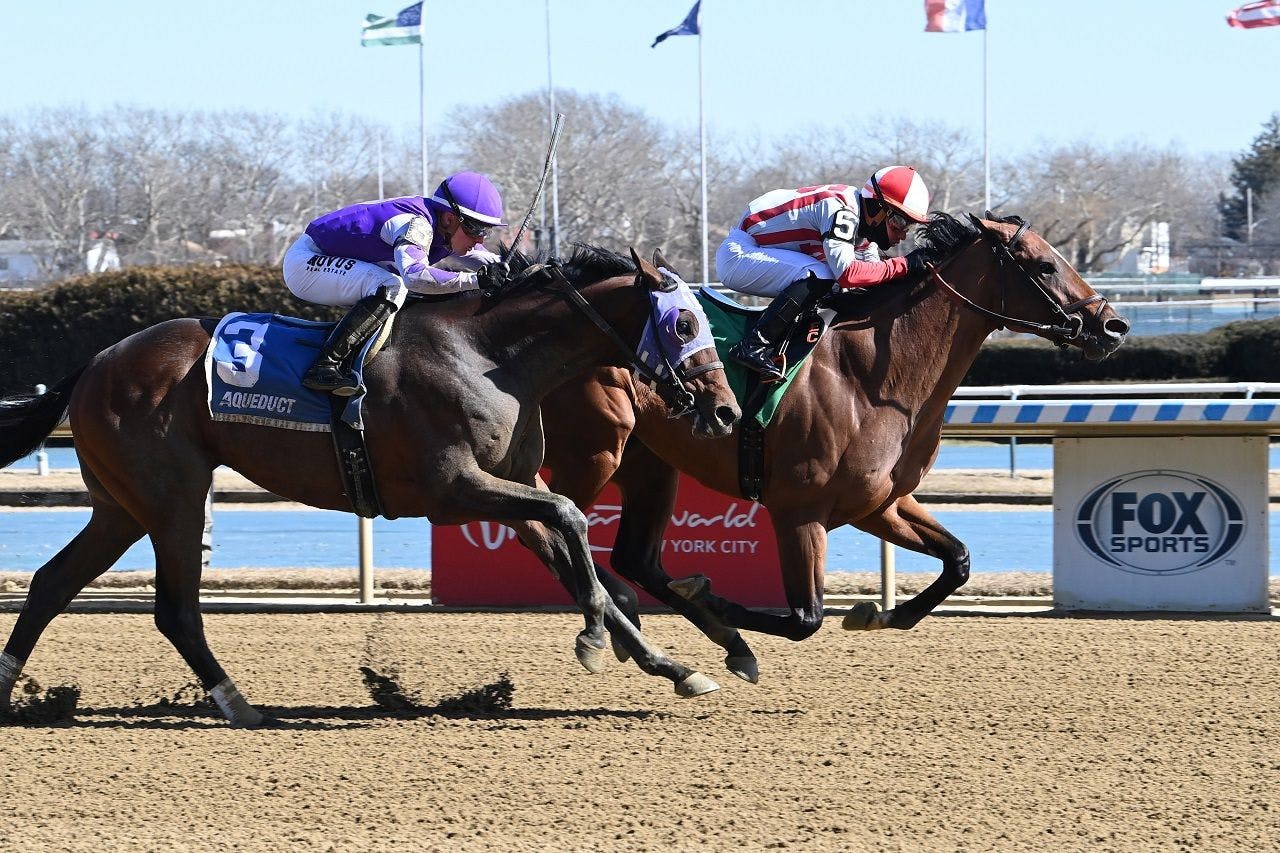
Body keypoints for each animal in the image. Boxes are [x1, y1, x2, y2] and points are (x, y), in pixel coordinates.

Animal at [0, 242, 742, 722]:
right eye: (684, 321)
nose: (727, 410)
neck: (491, 357)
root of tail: (97, 360)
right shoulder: (452, 488)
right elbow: (571, 514)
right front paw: (594, 641)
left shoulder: (507, 488)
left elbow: (579, 554)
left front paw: (674, 665)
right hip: (172, 497)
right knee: (174, 608)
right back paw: (239, 703)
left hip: (122, 504)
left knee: (52, 583)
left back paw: (8, 692)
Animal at [540, 213, 1131, 686]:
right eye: (1045, 265)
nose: (1113, 325)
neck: (873, 377)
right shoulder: (799, 511)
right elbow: (805, 618)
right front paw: (706, 596)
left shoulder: (878, 504)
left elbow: (958, 560)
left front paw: (877, 614)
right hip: (594, 452)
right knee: (551, 529)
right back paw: (618, 629)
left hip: (651, 463)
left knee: (632, 557)